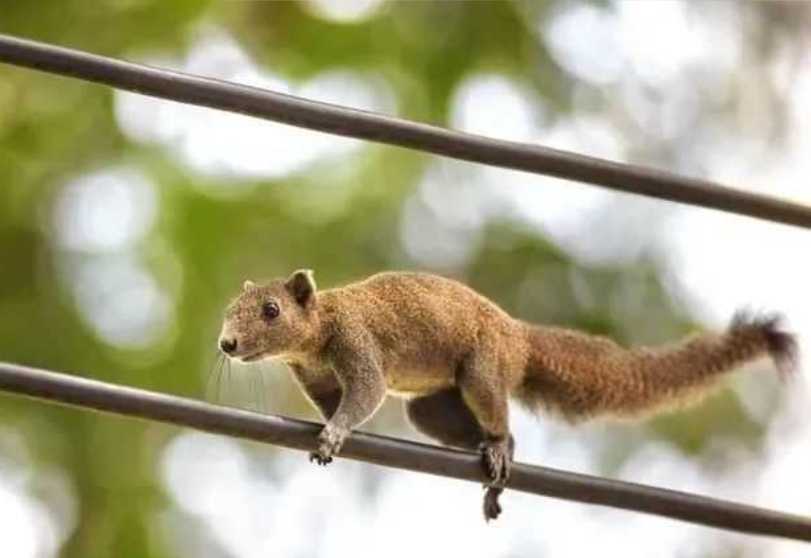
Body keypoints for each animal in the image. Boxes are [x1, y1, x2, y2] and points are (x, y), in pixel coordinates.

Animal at [217, 269, 797, 520]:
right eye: (229, 309)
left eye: (271, 310)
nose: (227, 344)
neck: (319, 326)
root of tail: (519, 338)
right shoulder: (313, 375)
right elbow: (329, 399)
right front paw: (327, 429)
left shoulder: (357, 344)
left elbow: (364, 392)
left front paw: (335, 433)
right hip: (432, 408)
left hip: (483, 367)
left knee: (499, 416)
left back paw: (499, 449)